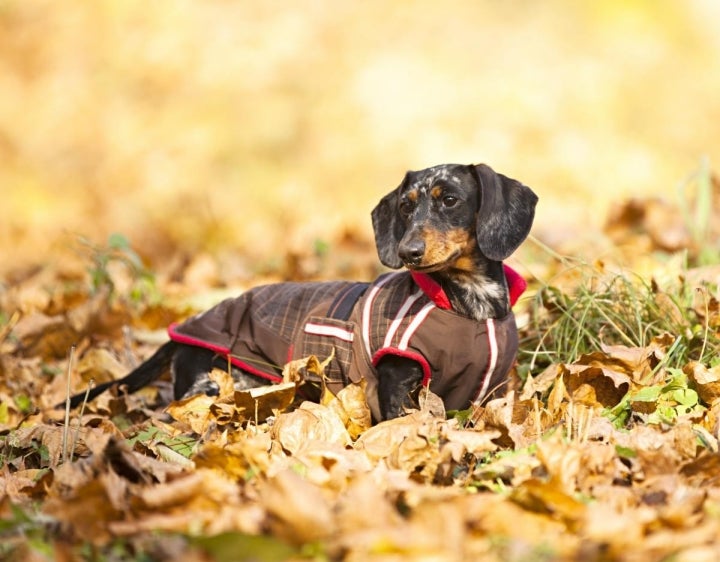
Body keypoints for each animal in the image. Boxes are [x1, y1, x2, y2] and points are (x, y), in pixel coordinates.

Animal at [64, 163, 536, 420]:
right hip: (212, 383)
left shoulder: (492, 388)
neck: (467, 308)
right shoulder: (396, 380)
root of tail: (180, 333)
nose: (407, 252)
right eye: (405, 206)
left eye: (450, 199)